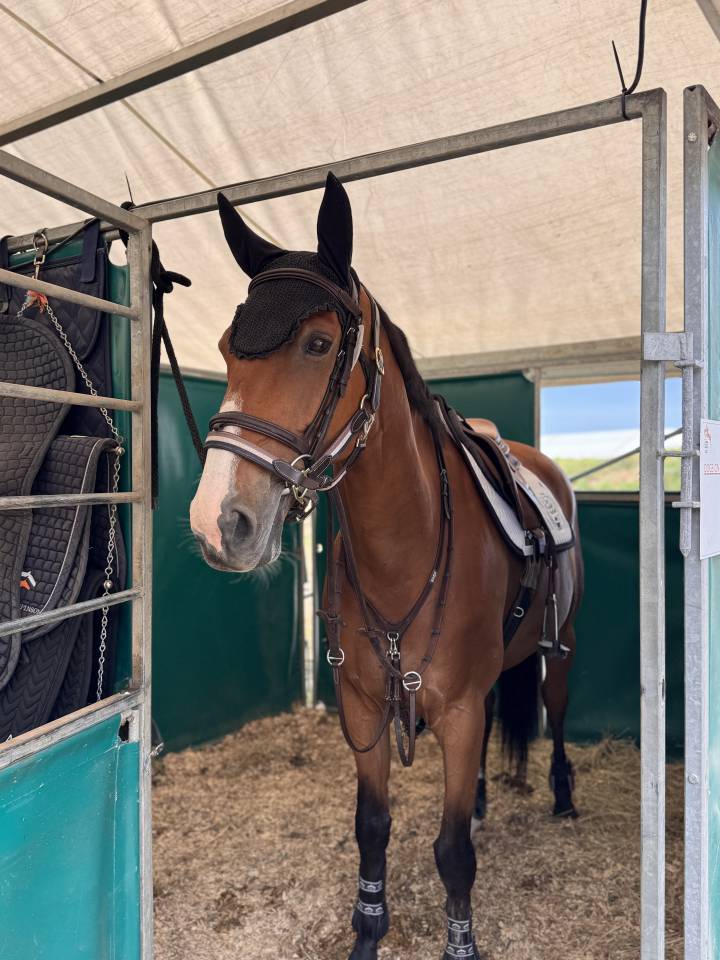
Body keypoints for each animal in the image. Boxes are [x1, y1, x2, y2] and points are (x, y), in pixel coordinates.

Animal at [189, 172, 583, 960]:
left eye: (318, 343)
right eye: (225, 348)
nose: (219, 520)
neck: (406, 549)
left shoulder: (456, 711)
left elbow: (453, 852)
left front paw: (461, 944)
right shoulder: (364, 705)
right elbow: (372, 828)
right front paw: (368, 933)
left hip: (559, 647)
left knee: (553, 711)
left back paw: (560, 793)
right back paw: (486, 800)